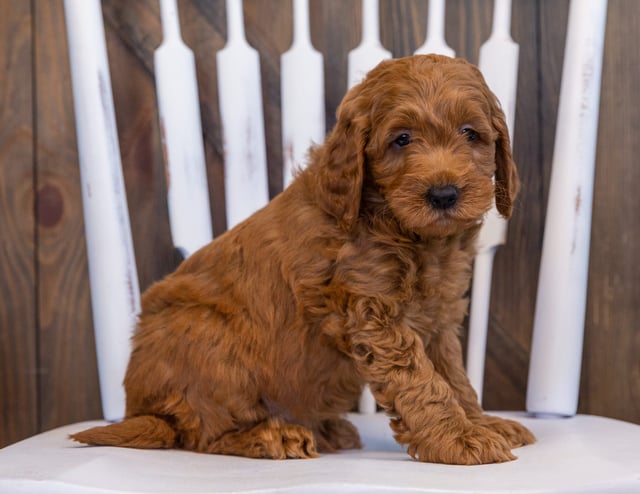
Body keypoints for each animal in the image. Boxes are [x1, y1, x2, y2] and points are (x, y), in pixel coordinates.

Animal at [72, 56, 536, 466]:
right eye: (401, 139)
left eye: (470, 133)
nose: (443, 195)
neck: (401, 228)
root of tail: (141, 409)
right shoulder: (373, 315)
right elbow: (421, 381)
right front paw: (460, 439)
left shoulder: (437, 317)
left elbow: (453, 375)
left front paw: (482, 423)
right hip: (205, 334)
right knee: (203, 432)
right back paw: (271, 436)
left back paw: (327, 430)